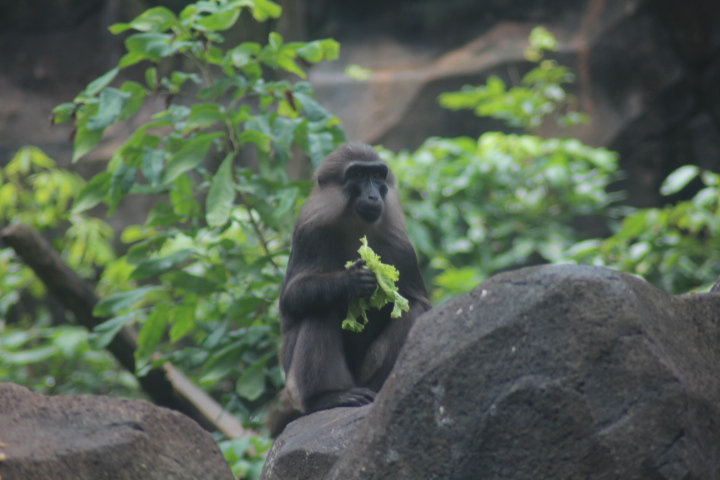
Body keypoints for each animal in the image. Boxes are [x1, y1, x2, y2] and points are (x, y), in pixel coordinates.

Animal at [279, 143, 432, 414]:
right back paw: (325, 398)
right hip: (297, 386)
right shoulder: (310, 231)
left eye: (378, 175)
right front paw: (349, 282)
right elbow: (290, 303)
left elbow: (421, 304)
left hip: (366, 376)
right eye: (359, 175)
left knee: (412, 310)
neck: (355, 225)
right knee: (319, 309)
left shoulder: (400, 246)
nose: (373, 196)